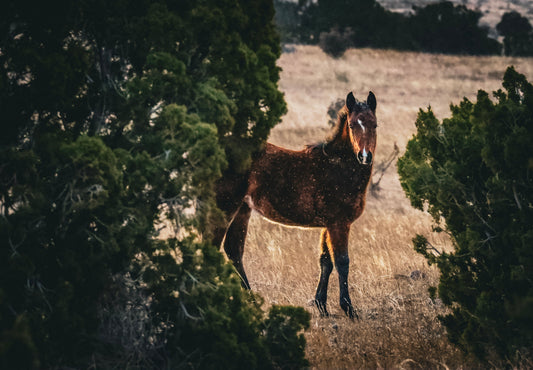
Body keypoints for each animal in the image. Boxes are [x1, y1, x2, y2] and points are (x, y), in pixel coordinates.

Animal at [214, 90, 376, 318]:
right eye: (352, 125)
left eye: (374, 125)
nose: (365, 157)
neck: (338, 167)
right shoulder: (339, 224)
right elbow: (342, 262)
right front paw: (348, 308)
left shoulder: (328, 225)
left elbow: (325, 261)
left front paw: (321, 306)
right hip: (225, 206)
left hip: (242, 210)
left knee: (234, 250)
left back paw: (251, 302)